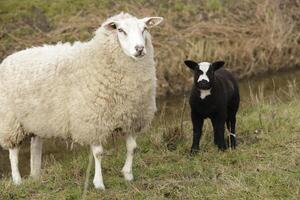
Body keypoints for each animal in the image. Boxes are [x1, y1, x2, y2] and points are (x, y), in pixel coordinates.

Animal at [0, 12, 163, 189]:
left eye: (145, 29)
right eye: (120, 30)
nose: (139, 49)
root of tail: (10, 57)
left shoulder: (130, 116)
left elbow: (132, 148)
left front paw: (128, 175)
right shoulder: (93, 121)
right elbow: (98, 154)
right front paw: (99, 183)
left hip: (36, 120)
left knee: (35, 147)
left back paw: (36, 176)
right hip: (11, 121)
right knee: (13, 151)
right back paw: (17, 180)